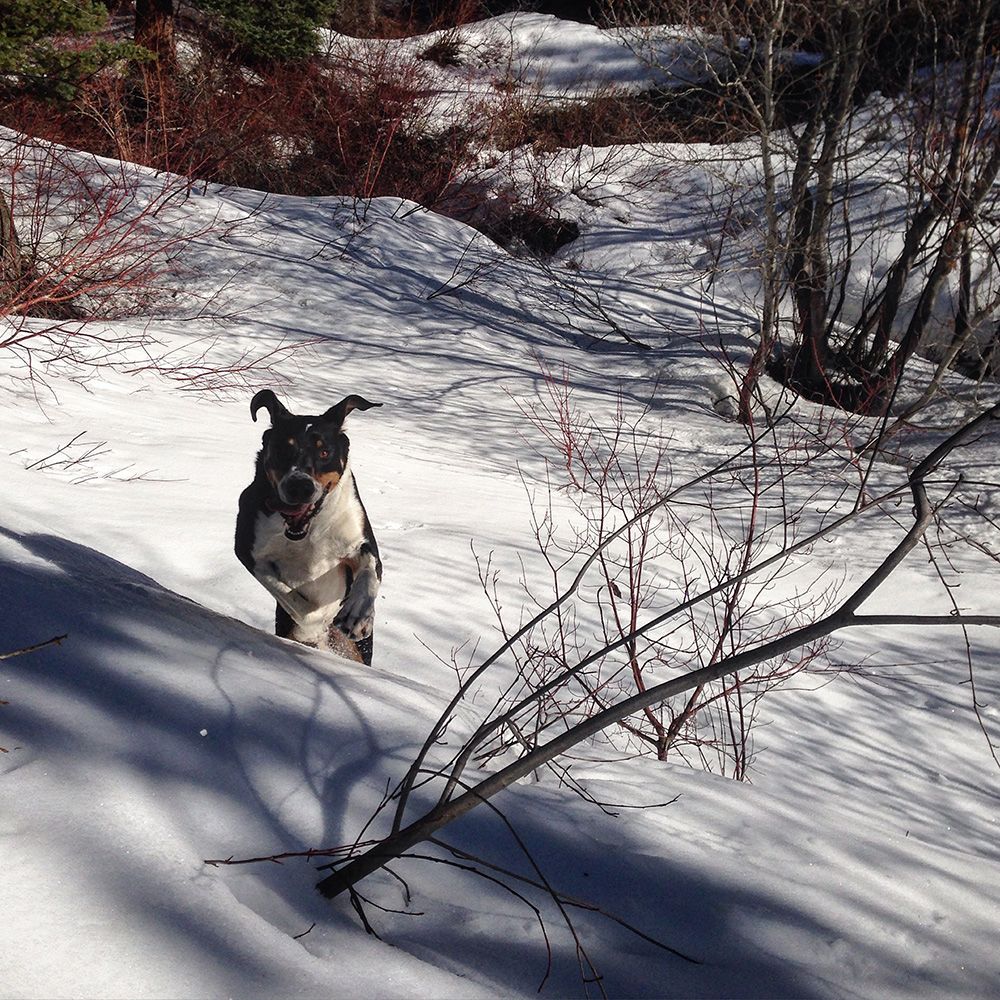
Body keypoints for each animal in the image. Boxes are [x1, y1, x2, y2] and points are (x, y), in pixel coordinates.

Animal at [234, 388, 382, 664]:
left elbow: (369, 571)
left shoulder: (359, 542)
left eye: (324, 453)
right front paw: (315, 622)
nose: (299, 486)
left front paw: (358, 615)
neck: (309, 529)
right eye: (282, 449)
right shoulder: (251, 554)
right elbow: (295, 602)